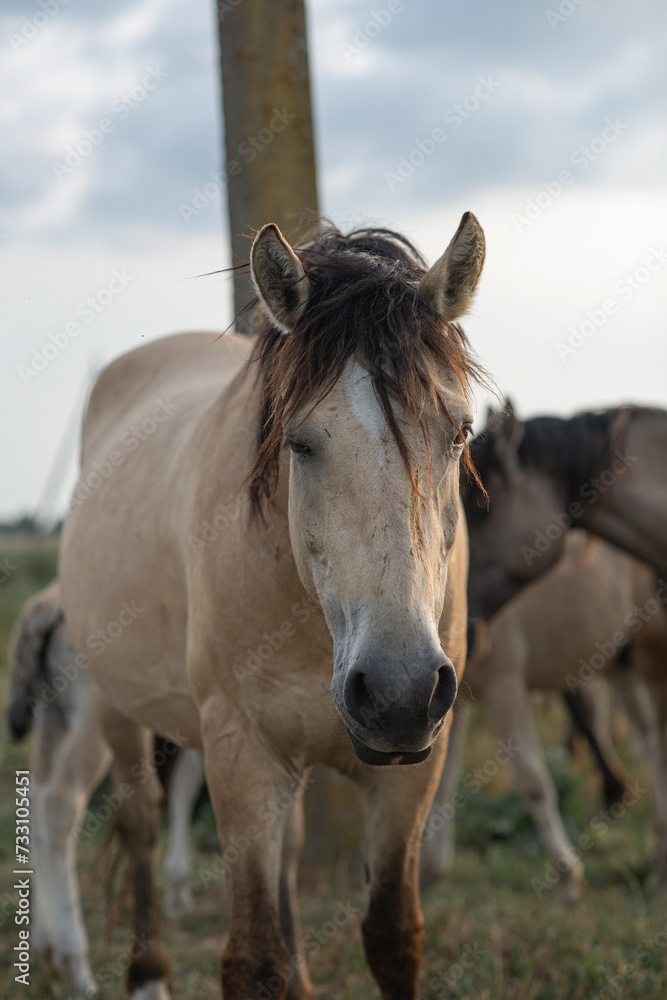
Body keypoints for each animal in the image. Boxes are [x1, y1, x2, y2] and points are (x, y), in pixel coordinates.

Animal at [57, 213, 486, 1000]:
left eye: (459, 432)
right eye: (299, 442)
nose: (398, 692)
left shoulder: (412, 772)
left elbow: (392, 936)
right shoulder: (242, 755)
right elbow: (253, 959)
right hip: (116, 708)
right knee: (138, 826)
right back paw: (147, 976)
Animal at [421, 530, 667, 898]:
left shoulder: (504, 686)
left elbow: (532, 782)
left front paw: (567, 876)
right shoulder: (454, 703)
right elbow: (443, 779)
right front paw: (431, 873)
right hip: (620, 665)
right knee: (649, 745)